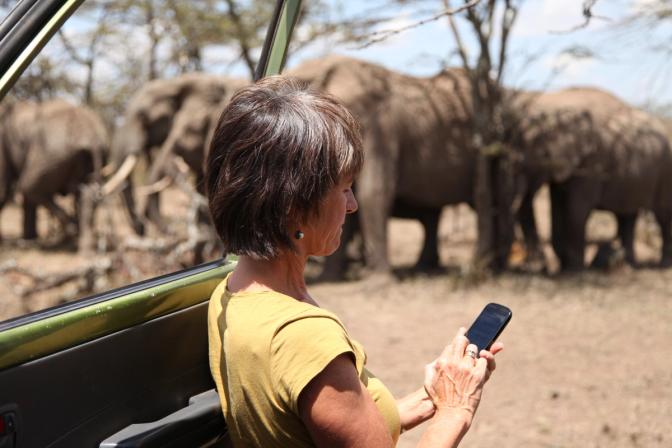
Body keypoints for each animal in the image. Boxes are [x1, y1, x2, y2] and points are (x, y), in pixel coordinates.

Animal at [0, 99, 108, 246]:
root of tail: (92, 138)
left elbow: (3, 188)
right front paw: (30, 239)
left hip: (51, 154)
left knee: (29, 185)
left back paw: (71, 230)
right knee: (86, 192)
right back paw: (80, 240)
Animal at [512, 87, 672, 270]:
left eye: (538, 156)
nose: (541, 266)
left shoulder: (592, 165)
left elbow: (576, 209)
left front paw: (574, 270)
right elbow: (558, 208)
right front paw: (566, 267)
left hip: (665, 170)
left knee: (663, 215)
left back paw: (662, 264)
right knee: (627, 217)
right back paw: (628, 264)